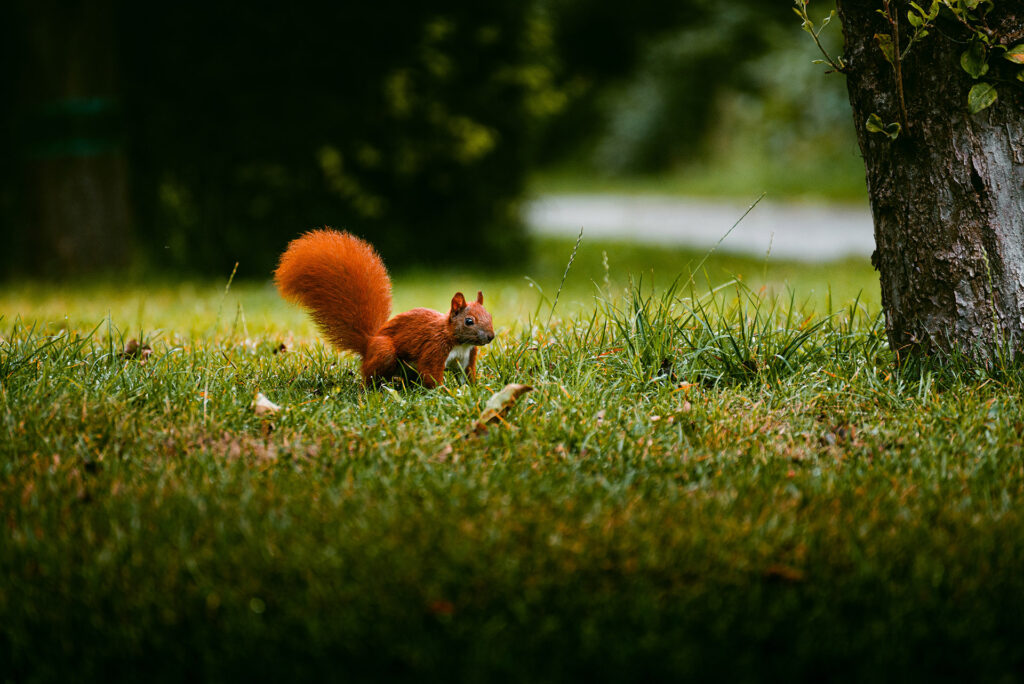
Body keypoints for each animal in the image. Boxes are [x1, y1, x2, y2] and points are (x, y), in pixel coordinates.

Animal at [272, 229, 495, 387]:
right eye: (469, 321)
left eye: (490, 316)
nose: (491, 336)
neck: (458, 342)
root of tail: (368, 344)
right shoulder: (434, 349)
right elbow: (431, 374)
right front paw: (442, 392)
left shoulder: (466, 359)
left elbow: (466, 378)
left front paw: (474, 390)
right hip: (385, 353)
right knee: (369, 377)